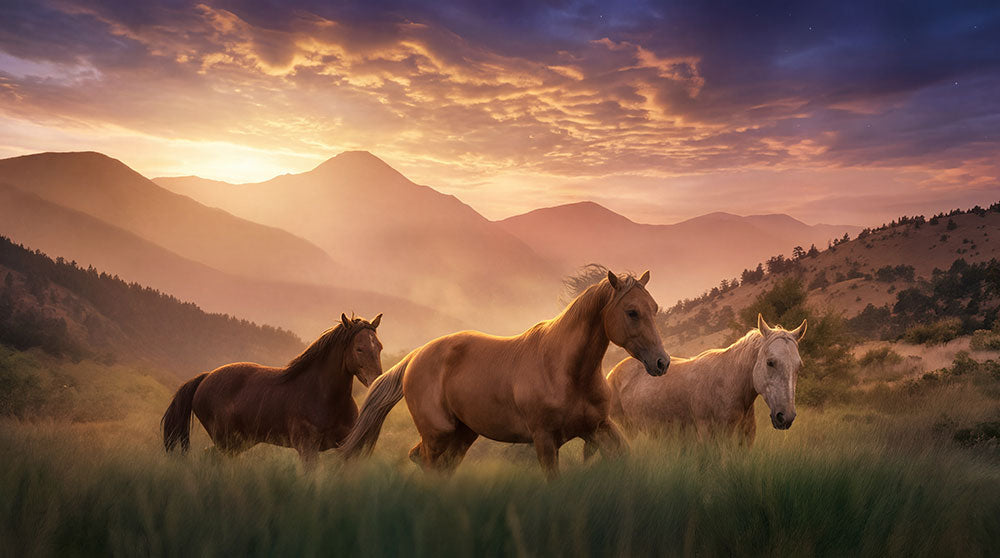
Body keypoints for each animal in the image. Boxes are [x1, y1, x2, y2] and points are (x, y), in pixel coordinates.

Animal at [162, 313, 383, 465]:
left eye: (379, 347)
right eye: (359, 348)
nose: (376, 380)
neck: (325, 397)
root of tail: (205, 377)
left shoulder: (347, 448)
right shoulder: (307, 450)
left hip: (238, 443)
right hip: (226, 442)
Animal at [340, 270, 670, 479]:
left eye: (654, 308)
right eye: (631, 312)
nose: (661, 362)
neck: (565, 371)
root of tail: (415, 356)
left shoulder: (599, 427)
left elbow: (624, 459)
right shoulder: (544, 440)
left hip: (462, 434)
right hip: (438, 435)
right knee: (428, 463)